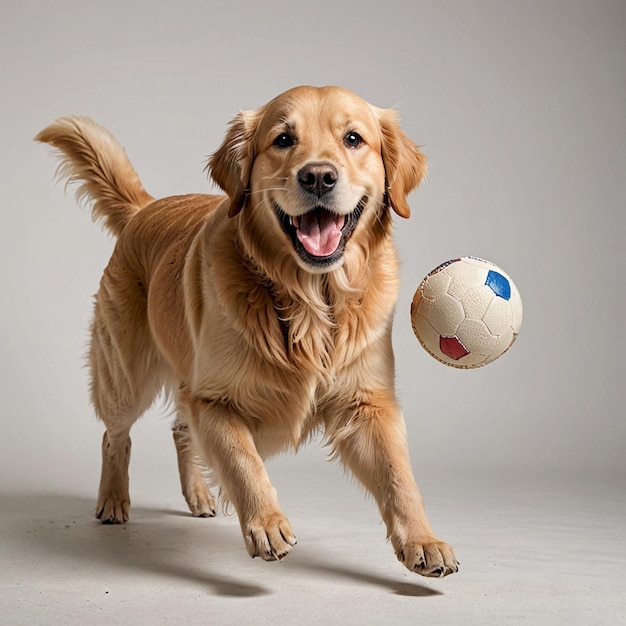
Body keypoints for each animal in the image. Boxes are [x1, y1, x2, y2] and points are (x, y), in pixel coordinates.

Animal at [37, 86, 458, 576]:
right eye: (283, 139)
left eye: (354, 138)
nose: (318, 177)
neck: (310, 300)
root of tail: (145, 208)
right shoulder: (213, 400)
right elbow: (243, 462)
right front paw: (267, 524)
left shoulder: (367, 404)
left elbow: (398, 475)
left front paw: (424, 540)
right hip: (127, 377)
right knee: (115, 435)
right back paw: (112, 499)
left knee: (179, 430)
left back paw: (198, 496)